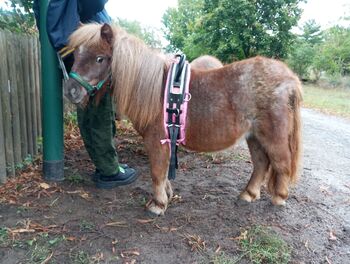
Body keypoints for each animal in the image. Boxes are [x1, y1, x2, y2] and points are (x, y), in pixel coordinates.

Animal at [64, 23, 302, 216]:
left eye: (100, 58)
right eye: (75, 55)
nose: (70, 91)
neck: (156, 90)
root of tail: (290, 78)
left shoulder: (156, 140)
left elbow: (156, 172)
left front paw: (157, 205)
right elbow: (164, 173)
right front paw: (166, 195)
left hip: (273, 137)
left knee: (281, 164)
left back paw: (279, 197)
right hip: (253, 136)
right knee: (261, 163)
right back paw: (248, 194)